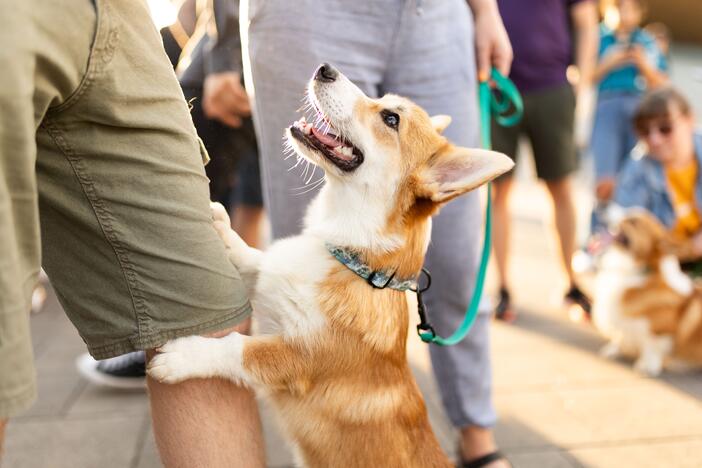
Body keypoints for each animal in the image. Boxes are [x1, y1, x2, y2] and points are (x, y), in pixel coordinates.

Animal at [148, 64, 516, 466]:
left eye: (391, 119)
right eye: (383, 102)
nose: (325, 69)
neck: (351, 261)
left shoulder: (295, 358)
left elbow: (238, 349)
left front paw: (183, 356)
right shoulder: (273, 282)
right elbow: (257, 261)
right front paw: (224, 229)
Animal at [592, 209, 702, 376]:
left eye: (633, 221)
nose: (601, 208)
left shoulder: (661, 332)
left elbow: (651, 347)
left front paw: (646, 366)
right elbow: (620, 336)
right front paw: (612, 350)